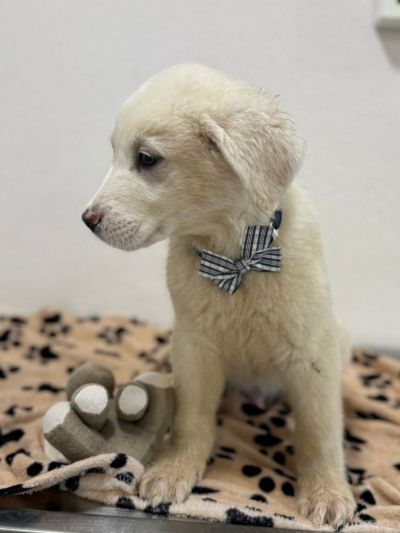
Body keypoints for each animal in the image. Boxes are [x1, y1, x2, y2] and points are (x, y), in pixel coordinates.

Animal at [82, 64, 355, 528]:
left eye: (147, 159)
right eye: (115, 153)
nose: (88, 219)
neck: (236, 257)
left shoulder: (312, 353)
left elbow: (319, 430)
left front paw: (327, 493)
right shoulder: (194, 348)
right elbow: (192, 419)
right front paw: (173, 472)